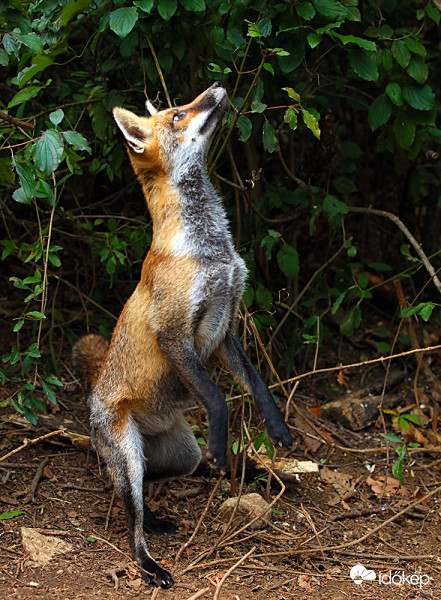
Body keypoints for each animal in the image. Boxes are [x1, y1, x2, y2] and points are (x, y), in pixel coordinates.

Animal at [73, 82, 292, 588]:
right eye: (177, 114)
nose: (218, 86)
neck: (212, 250)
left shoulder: (225, 327)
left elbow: (257, 384)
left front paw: (276, 427)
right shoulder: (175, 334)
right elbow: (219, 398)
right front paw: (222, 442)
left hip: (176, 454)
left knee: (136, 486)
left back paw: (160, 511)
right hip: (128, 450)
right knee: (130, 513)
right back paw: (151, 562)